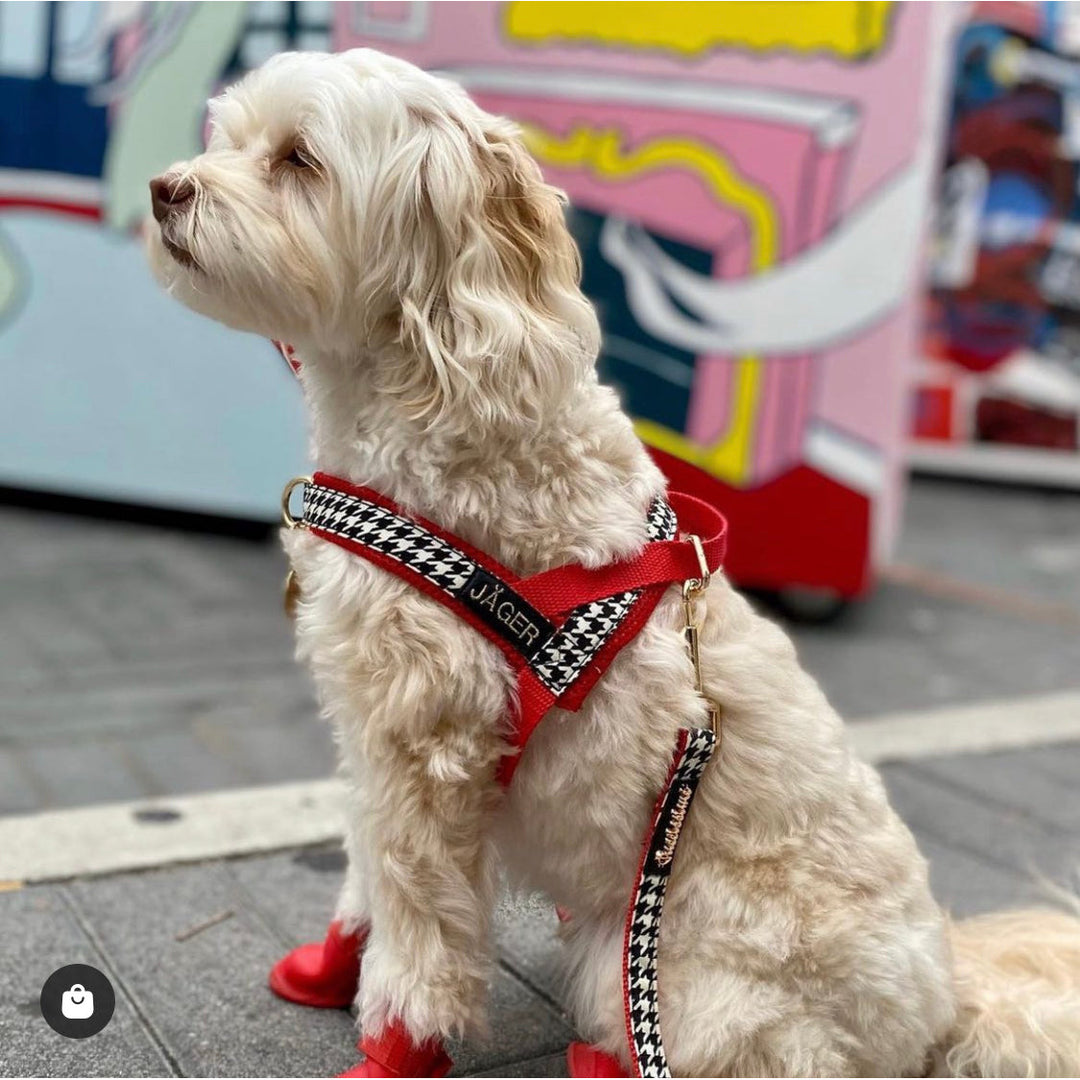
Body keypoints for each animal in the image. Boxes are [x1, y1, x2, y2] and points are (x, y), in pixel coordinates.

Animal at [150, 46, 1080, 1075]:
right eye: (227, 139)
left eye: (300, 161)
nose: (163, 190)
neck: (445, 401)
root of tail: (945, 1000)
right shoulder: (373, 739)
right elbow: (364, 870)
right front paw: (331, 962)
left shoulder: (425, 749)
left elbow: (419, 924)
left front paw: (396, 1040)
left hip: (669, 971)